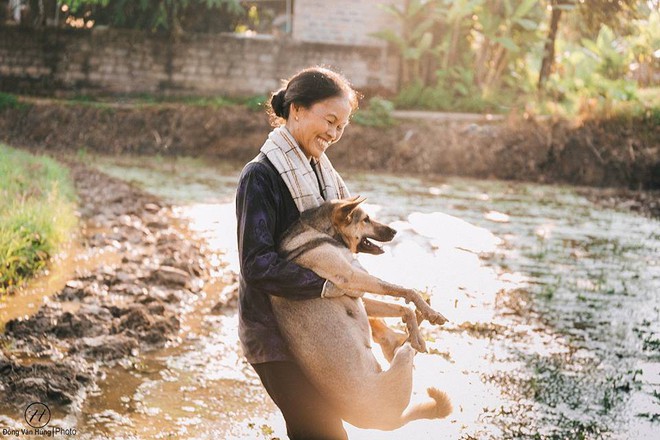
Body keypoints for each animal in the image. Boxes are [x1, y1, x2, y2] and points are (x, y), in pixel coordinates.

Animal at [270, 196, 454, 430]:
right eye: (366, 219)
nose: (394, 231)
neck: (316, 230)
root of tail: (393, 421)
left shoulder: (357, 291)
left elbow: (402, 306)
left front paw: (421, 316)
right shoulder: (351, 277)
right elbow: (405, 290)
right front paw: (426, 315)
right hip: (402, 360)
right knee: (406, 349)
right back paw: (413, 338)